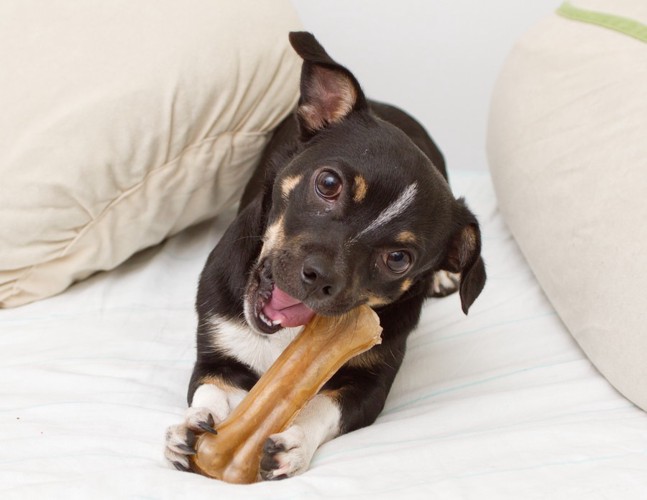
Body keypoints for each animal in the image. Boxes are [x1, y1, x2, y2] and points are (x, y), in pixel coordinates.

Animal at [166, 31, 486, 480]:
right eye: (329, 183)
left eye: (399, 259)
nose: (318, 276)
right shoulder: (217, 357)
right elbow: (210, 394)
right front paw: (191, 428)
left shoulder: (370, 385)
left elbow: (320, 406)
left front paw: (294, 444)